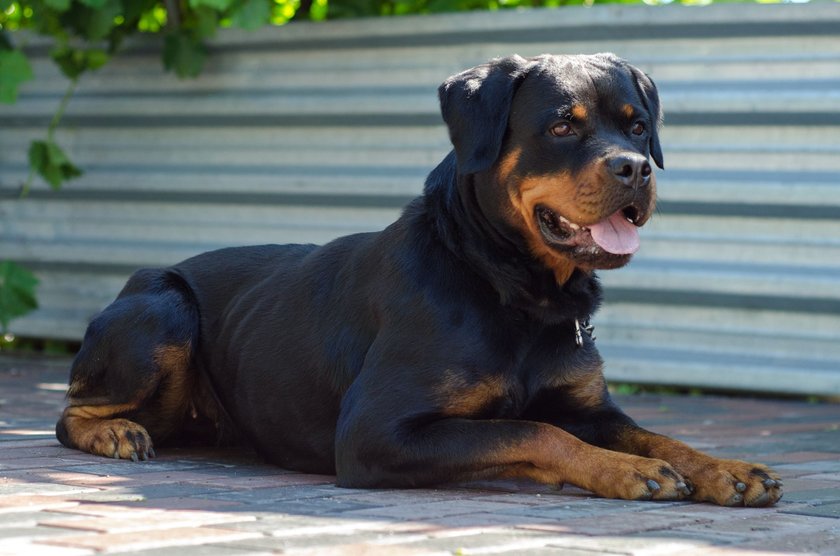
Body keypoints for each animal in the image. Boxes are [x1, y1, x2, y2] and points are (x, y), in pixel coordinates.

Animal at [57, 53, 780, 508]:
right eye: (561, 125)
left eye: (638, 126)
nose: (635, 168)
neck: (515, 288)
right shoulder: (377, 432)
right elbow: (532, 431)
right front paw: (629, 472)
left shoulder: (589, 406)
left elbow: (653, 433)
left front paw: (724, 470)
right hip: (161, 309)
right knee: (71, 413)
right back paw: (115, 433)